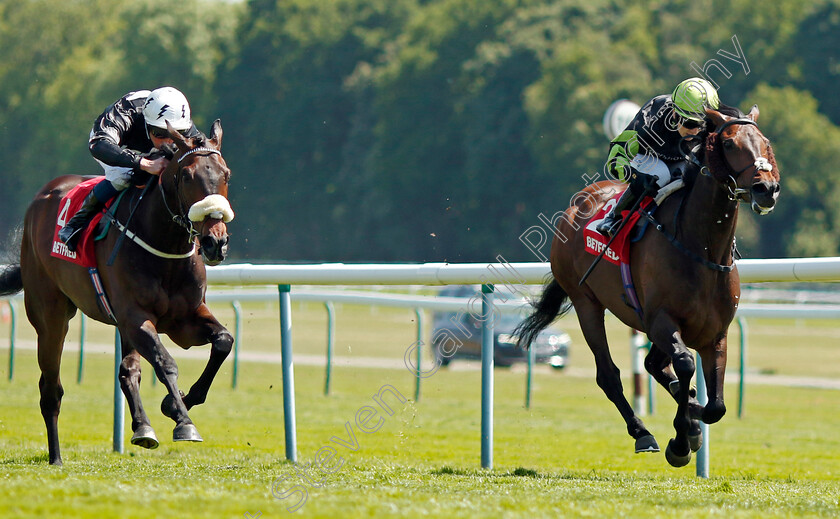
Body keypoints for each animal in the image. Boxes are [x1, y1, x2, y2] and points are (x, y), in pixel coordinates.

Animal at [0, 120, 235, 466]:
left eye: (226, 174)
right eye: (187, 175)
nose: (215, 241)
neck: (163, 245)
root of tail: (42, 197)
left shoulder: (185, 318)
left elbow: (223, 341)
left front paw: (176, 403)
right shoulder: (136, 317)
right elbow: (165, 363)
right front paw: (183, 421)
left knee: (128, 371)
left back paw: (143, 428)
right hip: (50, 314)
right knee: (51, 388)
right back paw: (56, 457)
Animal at [516, 105, 784, 468]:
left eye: (765, 142)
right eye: (729, 143)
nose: (766, 188)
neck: (700, 247)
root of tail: (575, 207)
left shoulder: (714, 333)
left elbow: (716, 406)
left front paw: (692, 420)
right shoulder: (661, 320)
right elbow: (685, 366)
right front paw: (681, 442)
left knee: (653, 365)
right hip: (586, 303)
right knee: (609, 374)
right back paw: (642, 432)